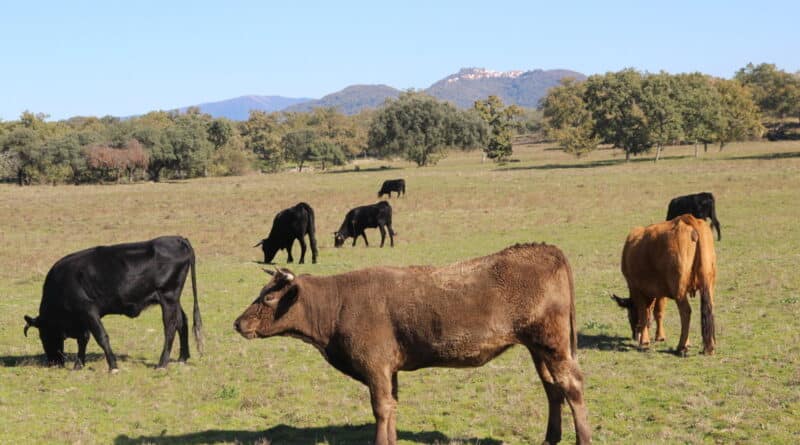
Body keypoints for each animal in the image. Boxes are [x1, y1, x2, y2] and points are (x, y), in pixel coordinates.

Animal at [23, 236, 203, 372]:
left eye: (43, 335)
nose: (53, 362)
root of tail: (177, 238)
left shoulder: (88, 310)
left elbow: (101, 337)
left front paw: (113, 366)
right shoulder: (82, 318)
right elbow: (83, 339)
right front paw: (79, 364)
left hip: (168, 296)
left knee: (170, 327)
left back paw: (162, 364)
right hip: (173, 299)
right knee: (182, 321)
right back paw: (182, 358)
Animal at [234, 243, 592, 444]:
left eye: (268, 297)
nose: (238, 323)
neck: (339, 303)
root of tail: (544, 249)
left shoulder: (375, 366)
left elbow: (381, 408)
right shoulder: (389, 370)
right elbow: (391, 406)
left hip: (554, 347)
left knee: (571, 387)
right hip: (539, 350)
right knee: (553, 391)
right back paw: (550, 440)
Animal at [612, 213, 720, 356]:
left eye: (629, 316)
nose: (634, 336)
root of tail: (687, 219)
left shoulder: (636, 288)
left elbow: (644, 313)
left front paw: (644, 341)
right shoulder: (659, 291)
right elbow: (658, 312)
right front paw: (660, 336)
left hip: (679, 289)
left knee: (685, 312)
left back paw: (681, 346)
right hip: (709, 284)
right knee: (708, 309)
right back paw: (708, 346)